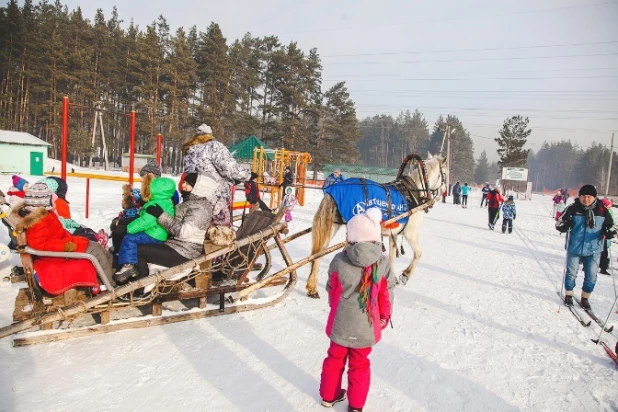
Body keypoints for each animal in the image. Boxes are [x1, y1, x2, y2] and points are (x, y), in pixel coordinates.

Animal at [306, 153, 446, 298]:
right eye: (445, 174)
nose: (444, 191)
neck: (413, 191)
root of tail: (335, 189)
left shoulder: (394, 235)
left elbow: (392, 257)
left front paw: (392, 278)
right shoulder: (411, 233)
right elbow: (418, 253)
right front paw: (406, 274)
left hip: (333, 225)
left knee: (319, 253)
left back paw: (312, 287)